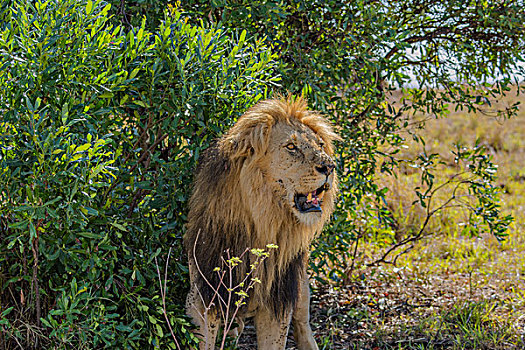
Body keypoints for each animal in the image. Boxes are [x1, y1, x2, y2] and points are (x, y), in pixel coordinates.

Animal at [184, 95, 340, 350]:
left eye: (320, 145)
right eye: (291, 147)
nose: (330, 167)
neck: (262, 222)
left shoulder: (278, 303)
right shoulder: (202, 298)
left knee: (303, 324)